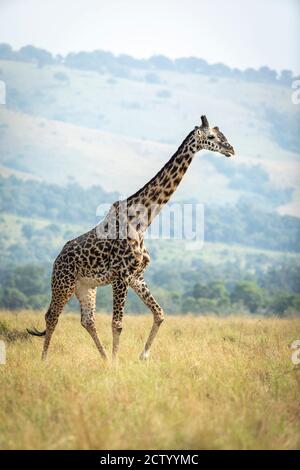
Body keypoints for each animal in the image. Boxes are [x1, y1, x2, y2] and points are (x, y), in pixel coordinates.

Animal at [27, 114, 234, 360]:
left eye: (222, 134)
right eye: (211, 136)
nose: (231, 149)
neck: (142, 221)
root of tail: (56, 259)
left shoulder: (136, 276)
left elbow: (159, 313)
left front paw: (142, 356)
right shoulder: (121, 276)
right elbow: (117, 324)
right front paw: (118, 363)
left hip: (86, 287)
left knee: (87, 320)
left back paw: (104, 359)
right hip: (63, 283)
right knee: (52, 316)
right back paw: (45, 360)